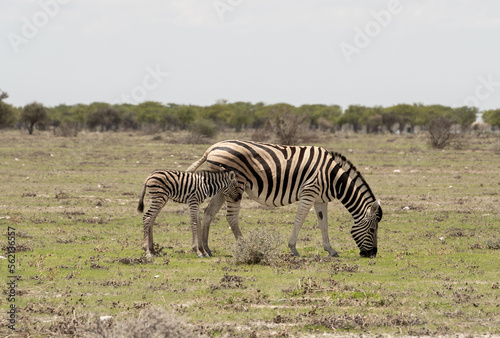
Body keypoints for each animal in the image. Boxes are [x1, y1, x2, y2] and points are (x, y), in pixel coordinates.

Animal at [188, 140, 382, 258]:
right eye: (373, 230)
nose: (372, 254)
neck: (332, 177)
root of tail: (212, 147)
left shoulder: (320, 199)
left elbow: (324, 224)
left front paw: (330, 250)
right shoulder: (309, 192)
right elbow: (299, 220)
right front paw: (293, 248)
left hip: (223, 189)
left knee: (209, 212)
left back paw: (207, 249)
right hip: (237, 186)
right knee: (231, 217)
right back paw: (245, 246)